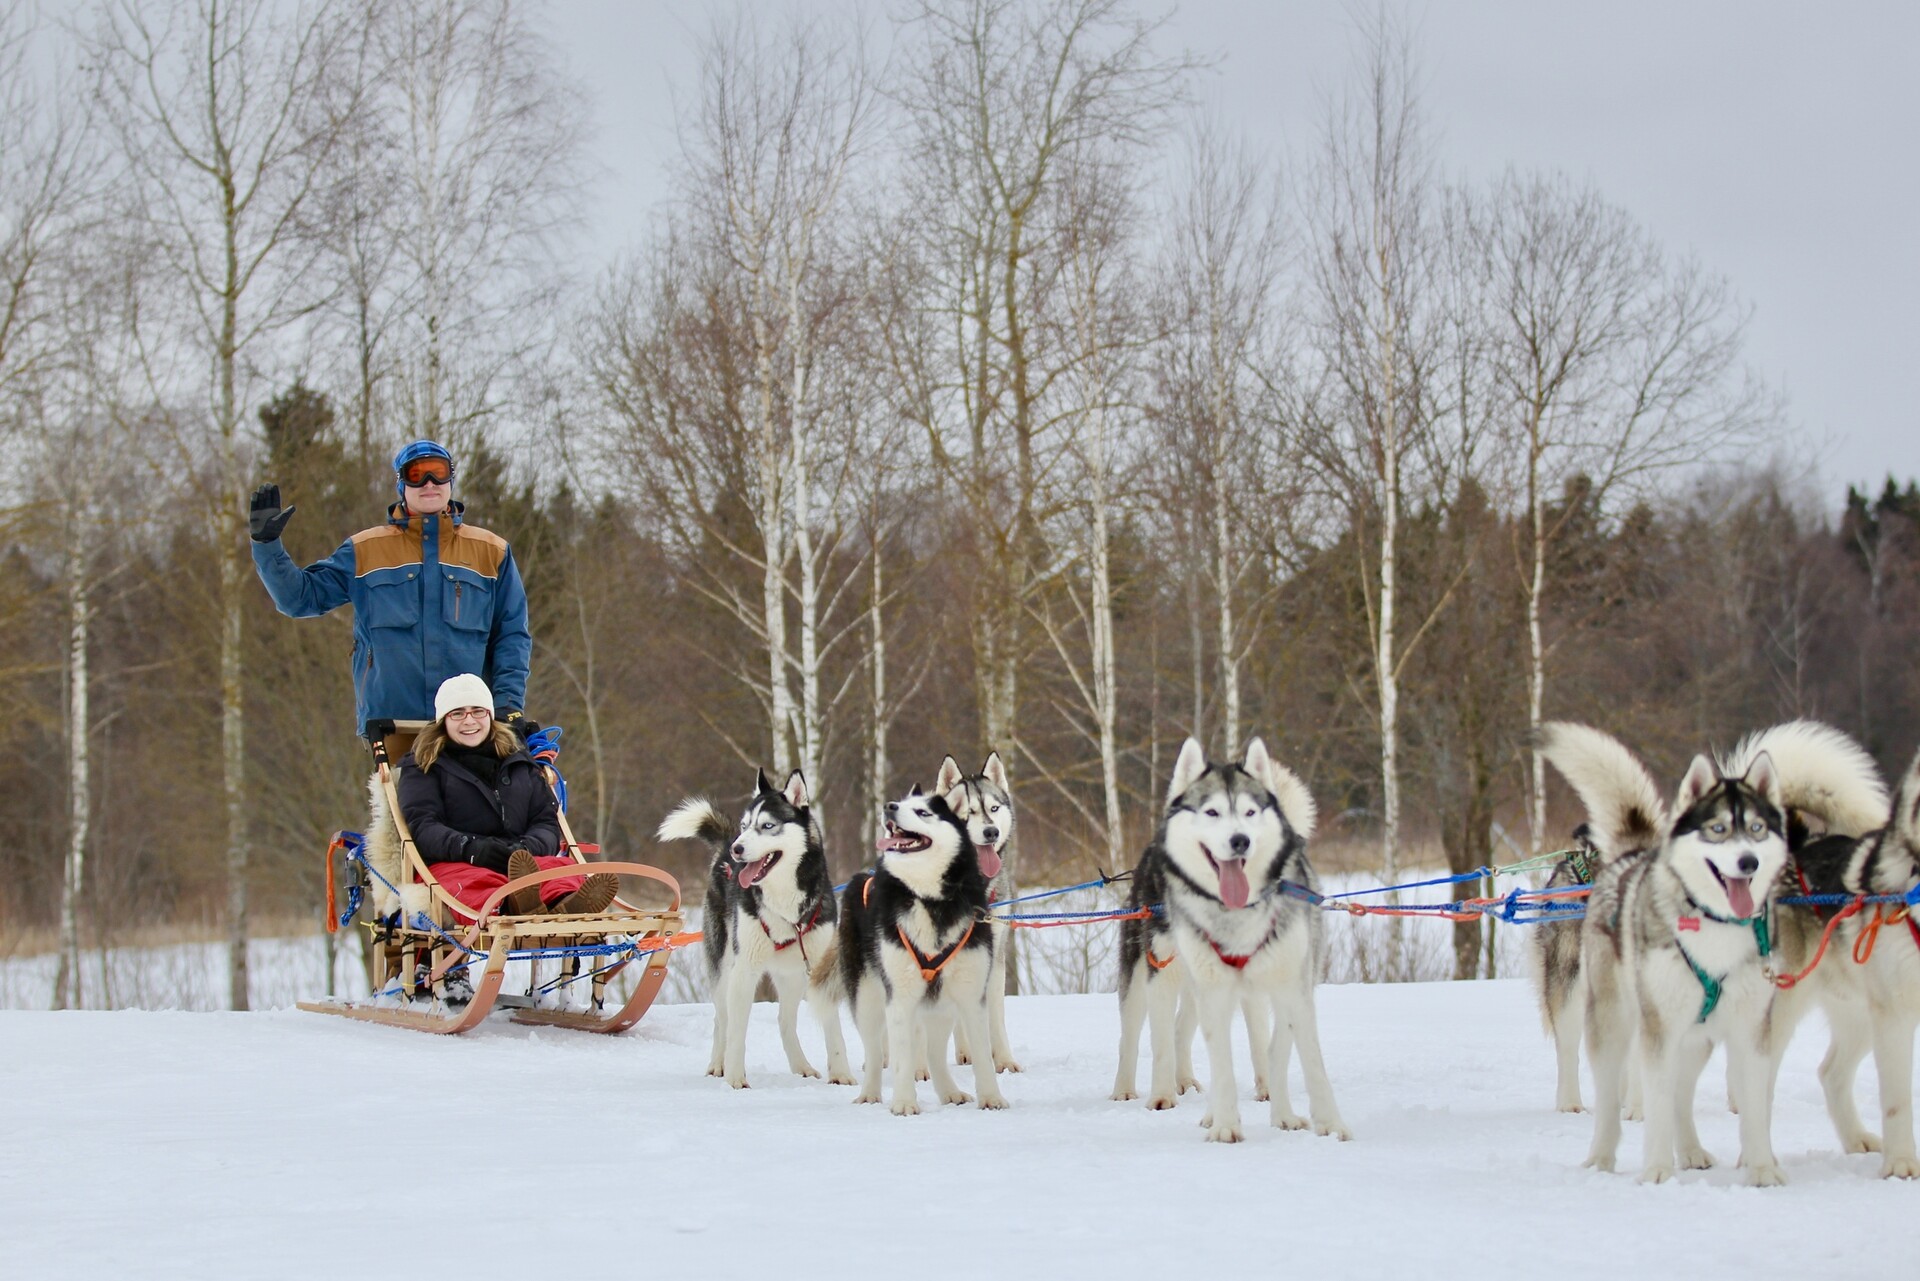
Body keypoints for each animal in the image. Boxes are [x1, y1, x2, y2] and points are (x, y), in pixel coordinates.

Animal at [656, 772, 852, 1090]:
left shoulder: (821, 968)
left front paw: (842, 1074)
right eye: (745, 825)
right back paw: (718, 1064)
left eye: (767, 826)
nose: (738, 849)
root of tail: (723, 846)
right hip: (724, 968)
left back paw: (801, 1066)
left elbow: (834, 1029)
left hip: (792, 976)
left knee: (785, 1020)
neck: (785, 906)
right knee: (722, 1020)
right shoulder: (744, 970)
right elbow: (737, 1031)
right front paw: (735, 1076)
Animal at [833, 783, 1006, 1113]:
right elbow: (902, 1058)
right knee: (875, 1052)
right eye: (899, 803)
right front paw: (903, 1103)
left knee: (935, 1052)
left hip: (942, 1008)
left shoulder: (971, 994)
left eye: (922, 811)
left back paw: (950, 1092)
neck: (929, 899)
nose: (888, 806)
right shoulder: (899, 997)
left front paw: (992, 1098)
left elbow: (982, 1056)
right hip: (868, 999)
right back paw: (870, 1093)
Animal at [929, 752, 1021, 1075]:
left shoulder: (993, 956)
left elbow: (995, 1014)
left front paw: (1003, 1059)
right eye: (967, 812)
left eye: (993, 808)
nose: (991, 831)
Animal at [1113, 737, 1336, 1144]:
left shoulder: (1272, 983)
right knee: (1134, 1035)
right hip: (1141, 977)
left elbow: (1267, 1044)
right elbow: (1160, 1044)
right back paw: (1128, 1089)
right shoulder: (1161, 975)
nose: (1239, 841)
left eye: (1250, 813)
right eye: (1211, 813)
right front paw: (1162, 1096)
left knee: (1200, 1032)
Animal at [1536, 725, 1789, 1190]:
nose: (1748, 862)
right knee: (1605, 1089)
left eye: (1758, 828)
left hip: (1696, 1038)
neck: (1715, 928)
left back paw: (1688, 1151)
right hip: (1607, 1017)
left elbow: (1755, 1107)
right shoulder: (1656, 1026)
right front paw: (1656, 1171)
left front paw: (1762, 1169)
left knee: (1680, 1095)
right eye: (1717, 829)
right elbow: (1653, 1103)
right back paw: (1600, 1156)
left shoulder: (1751, 1028)